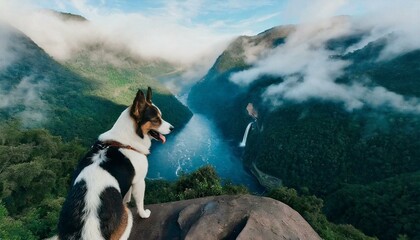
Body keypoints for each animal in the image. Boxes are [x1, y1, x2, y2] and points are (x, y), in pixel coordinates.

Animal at [57, 87, 172, 240]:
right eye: (156, 120)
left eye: (161, 117)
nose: (172, 128)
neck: (124, 141)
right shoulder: (139, 181)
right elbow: (140, 202)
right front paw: (144, 214)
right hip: (127, 216)